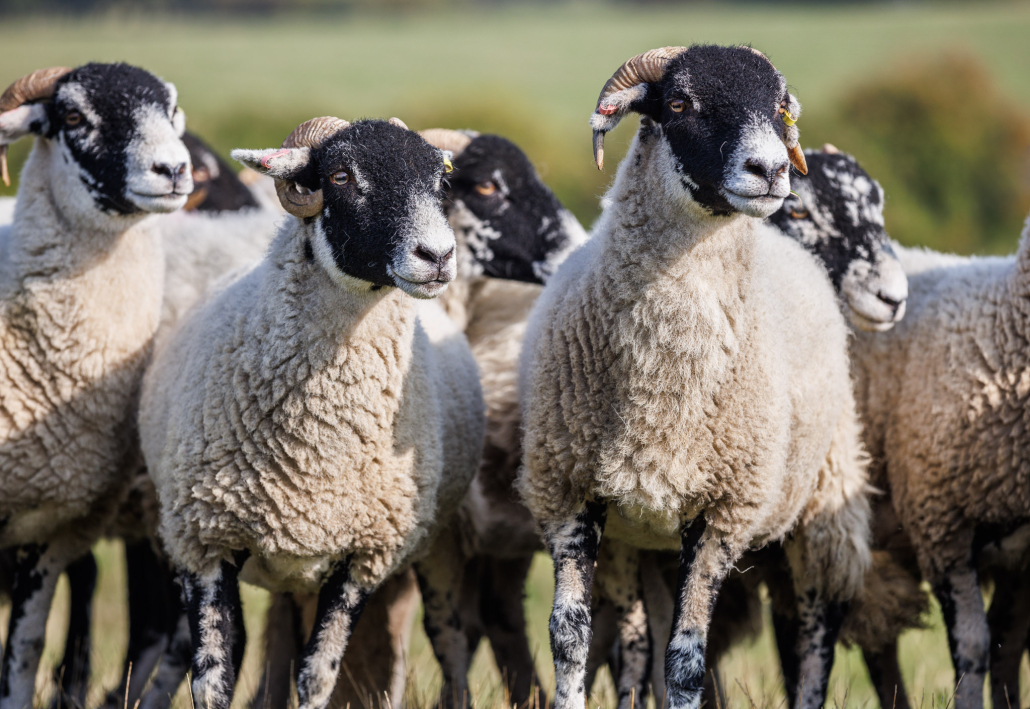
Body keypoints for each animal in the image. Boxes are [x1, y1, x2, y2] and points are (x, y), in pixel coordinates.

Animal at [138, 116, 485, 709]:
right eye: (342, 176)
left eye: (441, 179)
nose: (438, 256)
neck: (315, 449)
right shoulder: (204, 543)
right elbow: (212, 680)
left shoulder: (362, 556)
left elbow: (318, 674)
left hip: (435, 546)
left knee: (451, 639)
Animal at [517, 45, 871, 709]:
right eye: (680, 103)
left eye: (778, 107)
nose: (771, 169)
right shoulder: (568, 488)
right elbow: (569, 637)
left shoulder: (723, 512)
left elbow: (685, 660)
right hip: (639, 545)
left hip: (823, 502)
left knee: (816, 631)